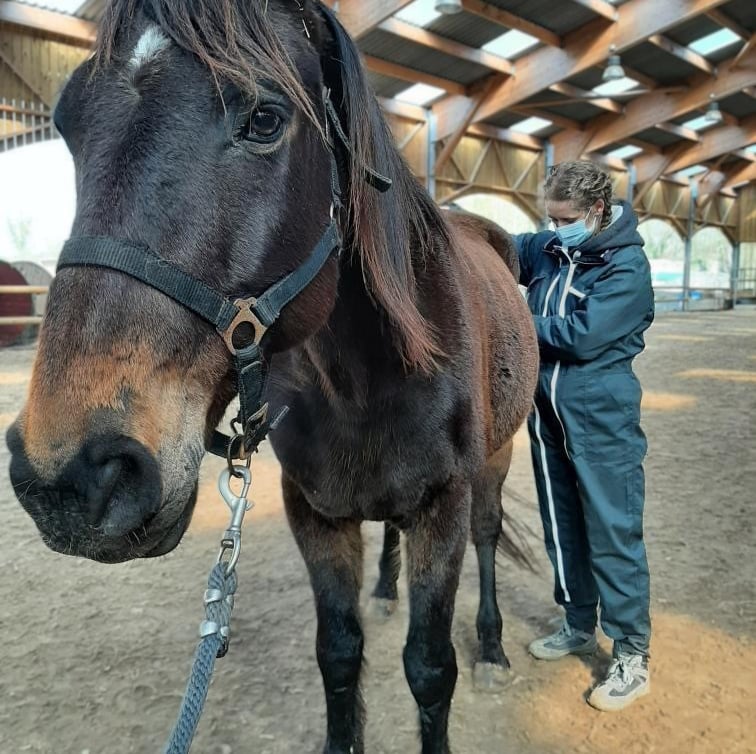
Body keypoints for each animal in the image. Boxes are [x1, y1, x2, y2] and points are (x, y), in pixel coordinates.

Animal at [6, 2, 538, 752]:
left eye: (265, 118)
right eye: (69, 123)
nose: (74, 478)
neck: (365, 382)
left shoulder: (444, 507)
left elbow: (431, 669)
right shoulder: (313, 511)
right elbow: (339, 653)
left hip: (497, 460)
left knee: (489, 539)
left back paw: (492, 647)